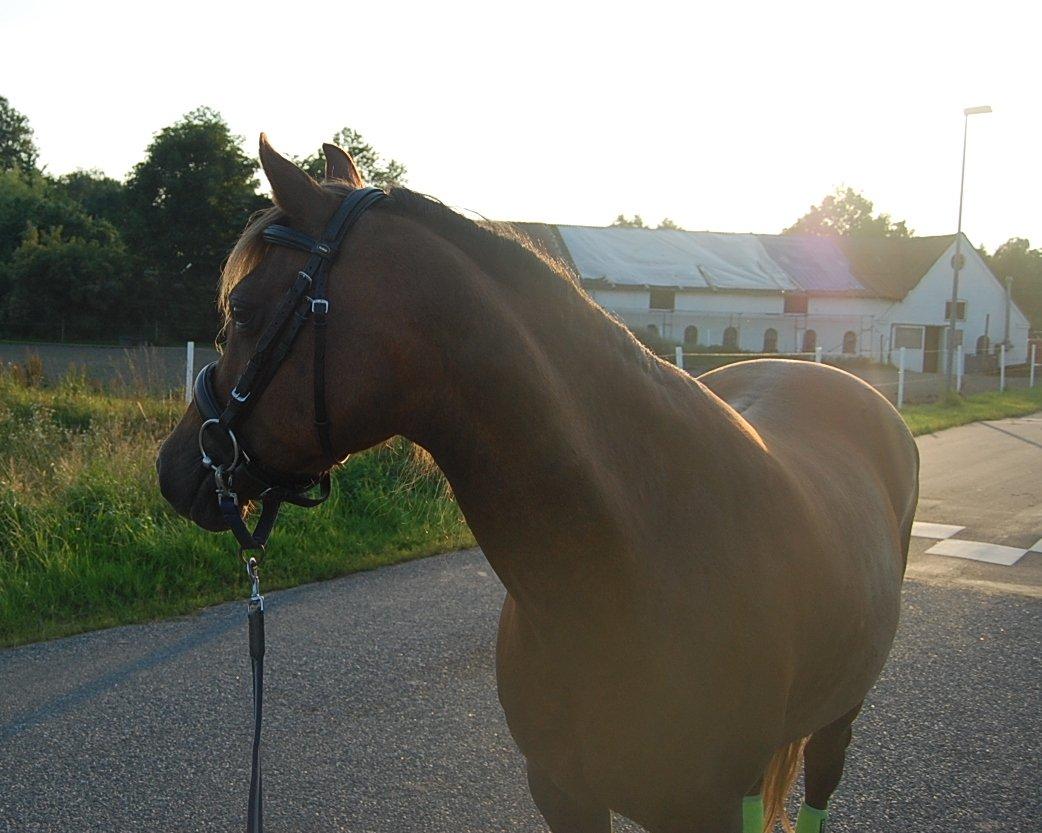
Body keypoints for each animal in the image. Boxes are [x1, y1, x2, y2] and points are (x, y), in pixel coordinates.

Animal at [157, 137, 919, 832]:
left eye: (244, 309)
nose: (174, 468)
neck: (633, 562)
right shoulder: (562, 790)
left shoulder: (701, 808)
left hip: (839, 714)